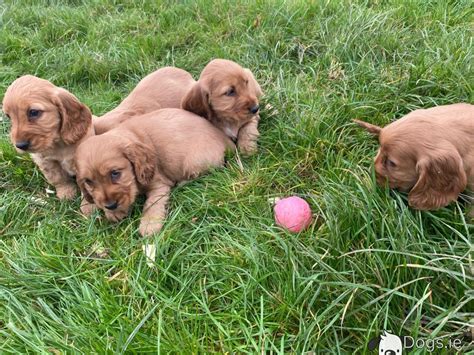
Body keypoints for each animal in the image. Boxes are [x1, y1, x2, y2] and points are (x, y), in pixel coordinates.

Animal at [74, 108, 235, 236]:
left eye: (115, 173)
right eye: (88, 182)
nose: (111, 205)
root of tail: (224, 138)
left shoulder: (159, 184)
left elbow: (152, 204)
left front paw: (149, 225)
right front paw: (114, 213)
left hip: (194, 161)